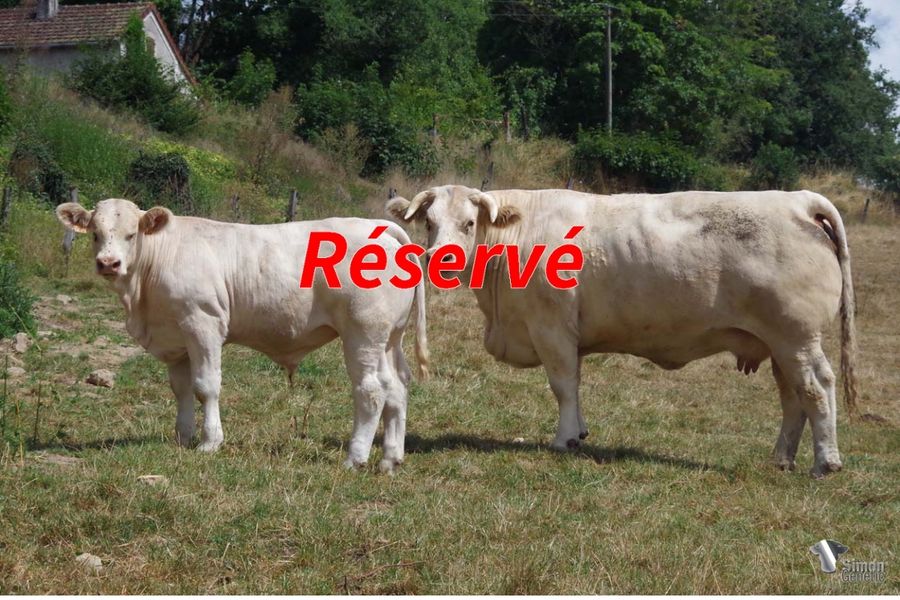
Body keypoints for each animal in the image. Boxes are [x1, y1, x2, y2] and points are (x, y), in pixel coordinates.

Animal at [56, 199, 428, 473]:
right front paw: (183, 437)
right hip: (389, 338)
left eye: (132, 234)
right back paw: (390, 459)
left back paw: (356, 458)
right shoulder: (176, 338)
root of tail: (378, 227)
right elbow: (181, 389)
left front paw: (209, 442)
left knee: (371, 391)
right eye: (95, 233)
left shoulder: (203, 323)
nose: (108, 263)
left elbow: (205, 386)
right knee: (396, 387)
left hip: (362, 334)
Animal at [387, 185, 858, 477]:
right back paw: (781, 459)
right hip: (779, 344)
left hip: (797, 338)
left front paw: (564, 440)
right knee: (792, 397)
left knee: (817, 387)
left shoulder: (551, 328)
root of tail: (799, 200)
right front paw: (579, 431)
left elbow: (563, 385)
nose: (439, 258)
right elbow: (575, 386)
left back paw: (825, 462)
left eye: (469, 223)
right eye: (428, 223)